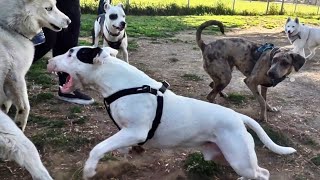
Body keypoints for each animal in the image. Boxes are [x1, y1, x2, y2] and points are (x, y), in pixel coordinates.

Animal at [0, 0, 70, 131]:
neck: (10, 27)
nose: (69, 21)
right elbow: (24, 108)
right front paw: (19, 126)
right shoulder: (15, 77)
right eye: (48, 8)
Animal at [47, 45, 298, 179]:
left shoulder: (135, 131)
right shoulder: (126, 134)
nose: (49, 61)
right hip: (225, 155)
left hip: (239, 158)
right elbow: (118, 149)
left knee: (262, 173)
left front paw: (89, 169)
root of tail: (238, 117)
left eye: (71, 53)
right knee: (255, 172)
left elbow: (98, 148)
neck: (119, 84)